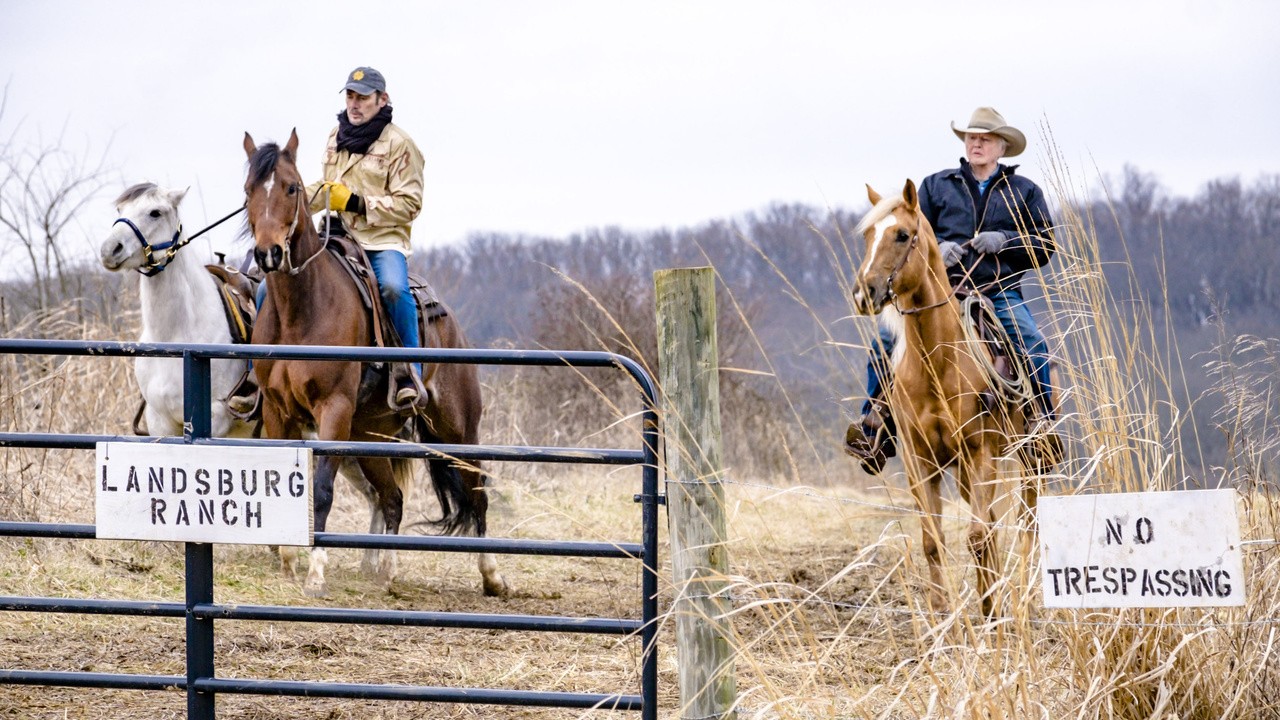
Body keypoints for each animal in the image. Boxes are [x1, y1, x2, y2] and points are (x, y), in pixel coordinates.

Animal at [99, 183, 255, 439]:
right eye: (120, 209)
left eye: (155, 212)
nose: (109, 250)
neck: (175, 337)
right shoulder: (160, 423)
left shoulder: (215, 421)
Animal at [241, 129, 506, 599]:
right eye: (248, 190)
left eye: (291, 187)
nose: (269, 253)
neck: (302, 308)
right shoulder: (276, 411)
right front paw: (289, 561)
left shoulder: (333, 410)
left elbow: (321, 490)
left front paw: (315, 572)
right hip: (371, 434)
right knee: (393, 497)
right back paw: (385, 569)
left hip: (458, 429)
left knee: (476, 491)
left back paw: (492, 575)